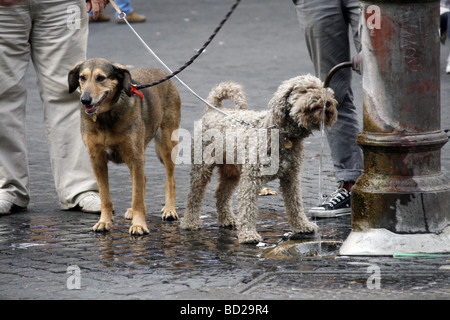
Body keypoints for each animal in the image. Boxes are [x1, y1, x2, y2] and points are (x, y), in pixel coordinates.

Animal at [67, 57, 180, 235]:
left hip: (166, 146)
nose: (85, 100)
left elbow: (137, 198)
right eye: (82, 78)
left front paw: (139, 225)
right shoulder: (97, 160)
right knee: (142, 180)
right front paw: (104, 222)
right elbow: (105, 197)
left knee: (170, 179)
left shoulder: (135, 157)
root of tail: (161, 73)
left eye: (101, 78)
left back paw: (169, 209)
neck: (106, 117)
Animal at [179, 75, 338, 244]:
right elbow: (248, 207)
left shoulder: (291, 177)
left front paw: (302, 225)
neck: (282, 134)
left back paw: (227, 219)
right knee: (194, 196)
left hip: (231, 171)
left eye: (325, 90)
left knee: (221, 194)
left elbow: (295, 203)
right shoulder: (251, 179)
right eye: (305, 89)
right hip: (201, 167)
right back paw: (190, 222)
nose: (327, 101)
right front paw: (248, 234)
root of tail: (213, 110)